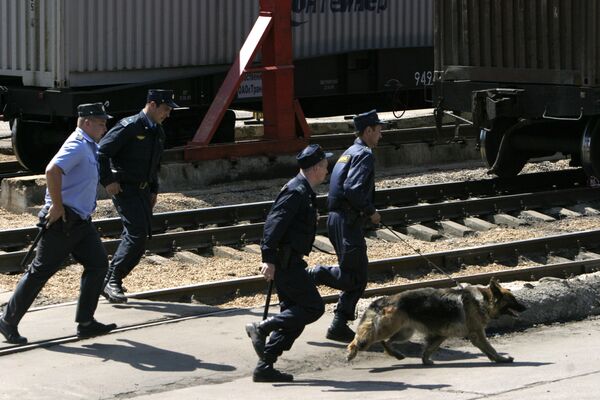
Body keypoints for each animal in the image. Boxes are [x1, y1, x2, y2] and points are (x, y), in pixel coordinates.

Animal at [346, 280, 524, 364]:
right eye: (513, 300)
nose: (525, 307)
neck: (483, 301)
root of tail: (384, 300)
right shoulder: (477, 334)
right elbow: (490, 348)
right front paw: (501, 359)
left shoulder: (440, 335)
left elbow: (428, 349)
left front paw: (426, 361)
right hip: (386, 329)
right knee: (362, 340)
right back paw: (351, 352)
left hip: (405, 332)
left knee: (386, 343)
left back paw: (396, 355)